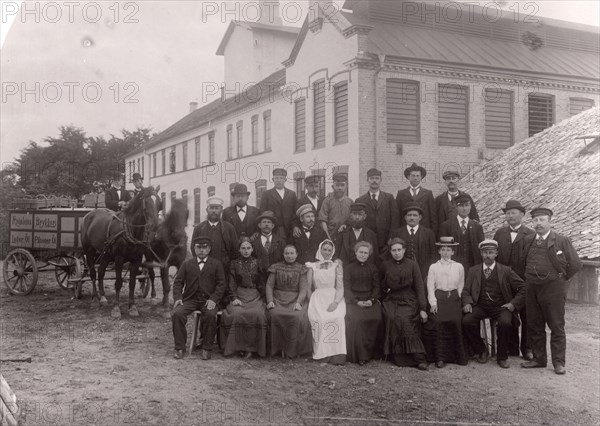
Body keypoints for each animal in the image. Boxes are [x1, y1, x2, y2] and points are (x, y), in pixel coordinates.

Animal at [81, 185, 159, 318]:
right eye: (147, 202)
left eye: (159, 202)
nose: (155, 227)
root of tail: (89, 214)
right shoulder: (119, 258)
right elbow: (118, 282)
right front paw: (116, 308)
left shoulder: (136, 259)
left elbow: (132, 283)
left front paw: (132, 307)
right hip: (89, 252)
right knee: (93, 274)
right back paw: (95, 299)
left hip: (106, 254)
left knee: (101, 272)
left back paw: (103, 297)